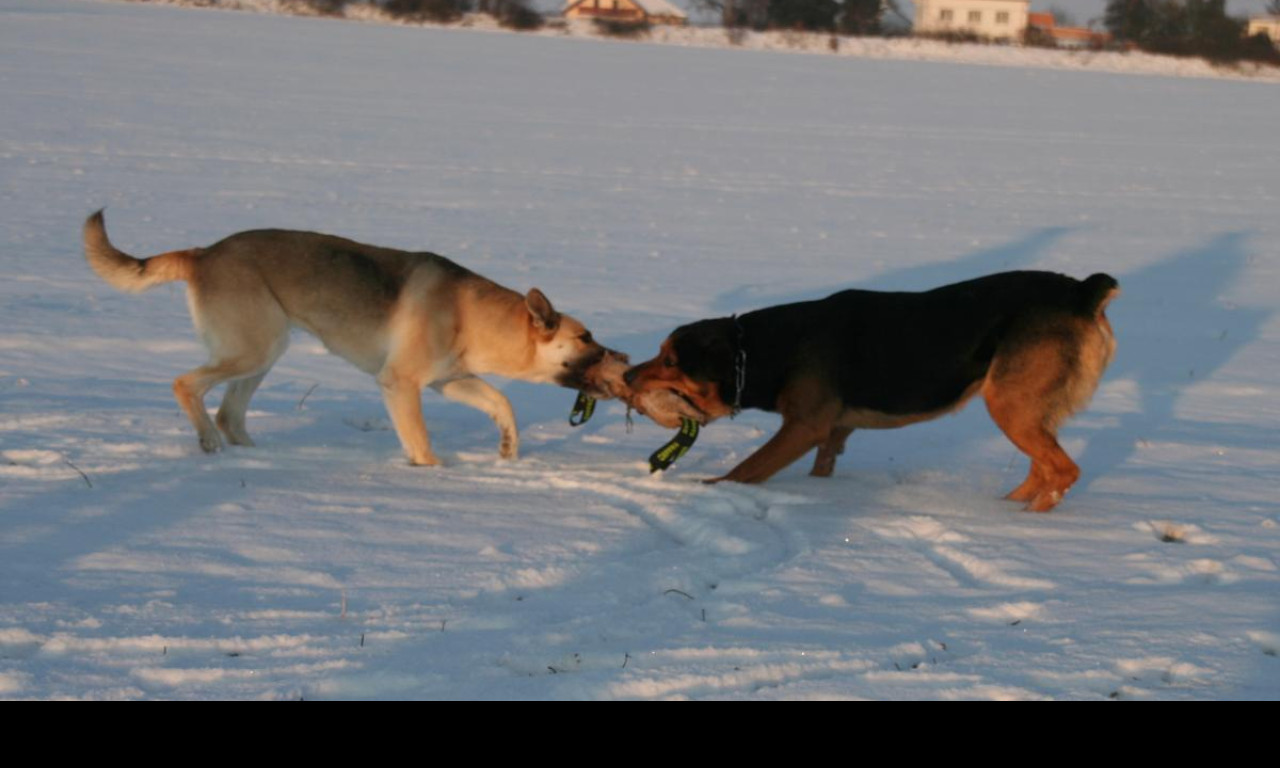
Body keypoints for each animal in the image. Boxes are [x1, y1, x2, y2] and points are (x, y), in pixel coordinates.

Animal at [82, 209, 627, 465]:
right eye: (586, 337)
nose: (620, 356)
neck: (474, 316)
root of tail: (204, 253)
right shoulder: (401, 384)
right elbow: (422, 443)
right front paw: (434, 472)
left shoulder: (448, 380)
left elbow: (502, 403)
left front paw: (508, 450)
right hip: (253, 349)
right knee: (186, 386)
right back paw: (209, 444)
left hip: (263, 354)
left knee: (229, 412)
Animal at [624, 272, 1116, 512]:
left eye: (669, 361)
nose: (627, 377)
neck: (763, 348)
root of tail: (1083, 292)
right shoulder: (833, 433)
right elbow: (821, 468)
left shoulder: (803, 427)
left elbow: (746, 469)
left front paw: (708, 490)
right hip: (1026, 409)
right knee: (1044, 469)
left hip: (1009, 403)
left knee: (1064, 471)